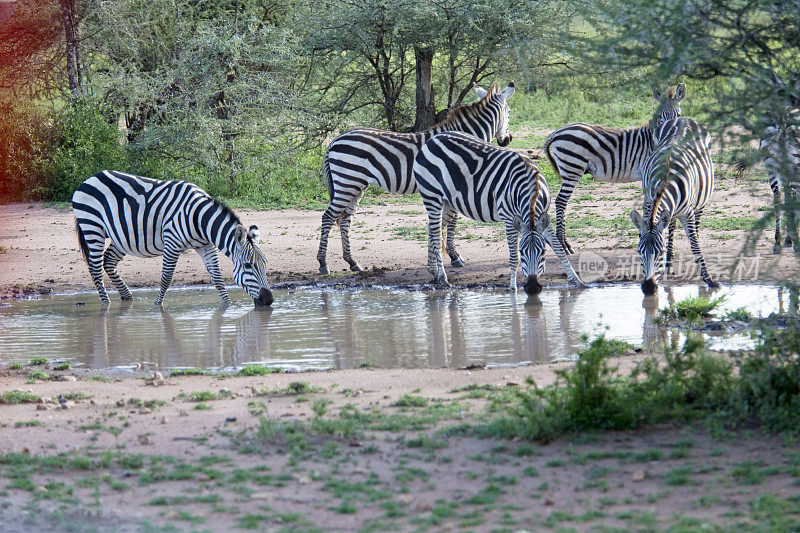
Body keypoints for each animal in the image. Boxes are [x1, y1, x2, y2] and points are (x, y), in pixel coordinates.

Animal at [75, 168, 276, 306]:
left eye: (265, 263)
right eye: (248, 265)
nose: (268, 300)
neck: (199, 219)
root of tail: (91, 178)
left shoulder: (206, 246)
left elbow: (217, 278)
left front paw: (227, 306)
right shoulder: (172, 242)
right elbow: (166, 278)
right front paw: (157, 306)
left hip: (121, 238)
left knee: (108, 261)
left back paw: (127, 297)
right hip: (92, 227)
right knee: (95, 268)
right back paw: (106, 304)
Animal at [316, 82, 516, 278]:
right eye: (509, 112)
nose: (508, 139)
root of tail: (334, 141)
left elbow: (445, 223)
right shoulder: (457, 185)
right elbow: (452, 222)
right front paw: (454, 256)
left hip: (356, 185)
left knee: (344, 219)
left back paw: (352, 262)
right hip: (347, 182)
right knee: (328, 217)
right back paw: (323, 264)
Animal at [416, 130, 584, 294]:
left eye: (543, 252)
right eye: (522, 251)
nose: (532, 288)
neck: (533, 189)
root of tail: (432, 139)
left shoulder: (543, 220)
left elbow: (558, 249)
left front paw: (577, 281)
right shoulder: (510, 220)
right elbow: (513, 258)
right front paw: (512, 288)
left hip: (449, 202)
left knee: (433, 229)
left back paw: (433, 270)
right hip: (432, 196)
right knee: (436, 235)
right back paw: (442, 277)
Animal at [544, 84, 688, 255]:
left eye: (678, 115)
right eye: (661, 116)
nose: (670, 132)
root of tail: (557, 131)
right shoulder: (648, 175)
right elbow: (649, 206)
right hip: (572, 167)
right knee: (561, 201)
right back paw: (564, 244)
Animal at [632, 115, 720, 296]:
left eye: (660, 252)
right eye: (639, 252)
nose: (648, 287)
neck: (664, 179)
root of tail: (682, 118)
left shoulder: (688, 213)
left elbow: (695, 245)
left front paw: (709, 279)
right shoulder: (648, 203)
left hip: (700, 201)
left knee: (695, 229)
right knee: (670, 225)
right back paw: (669, 263)